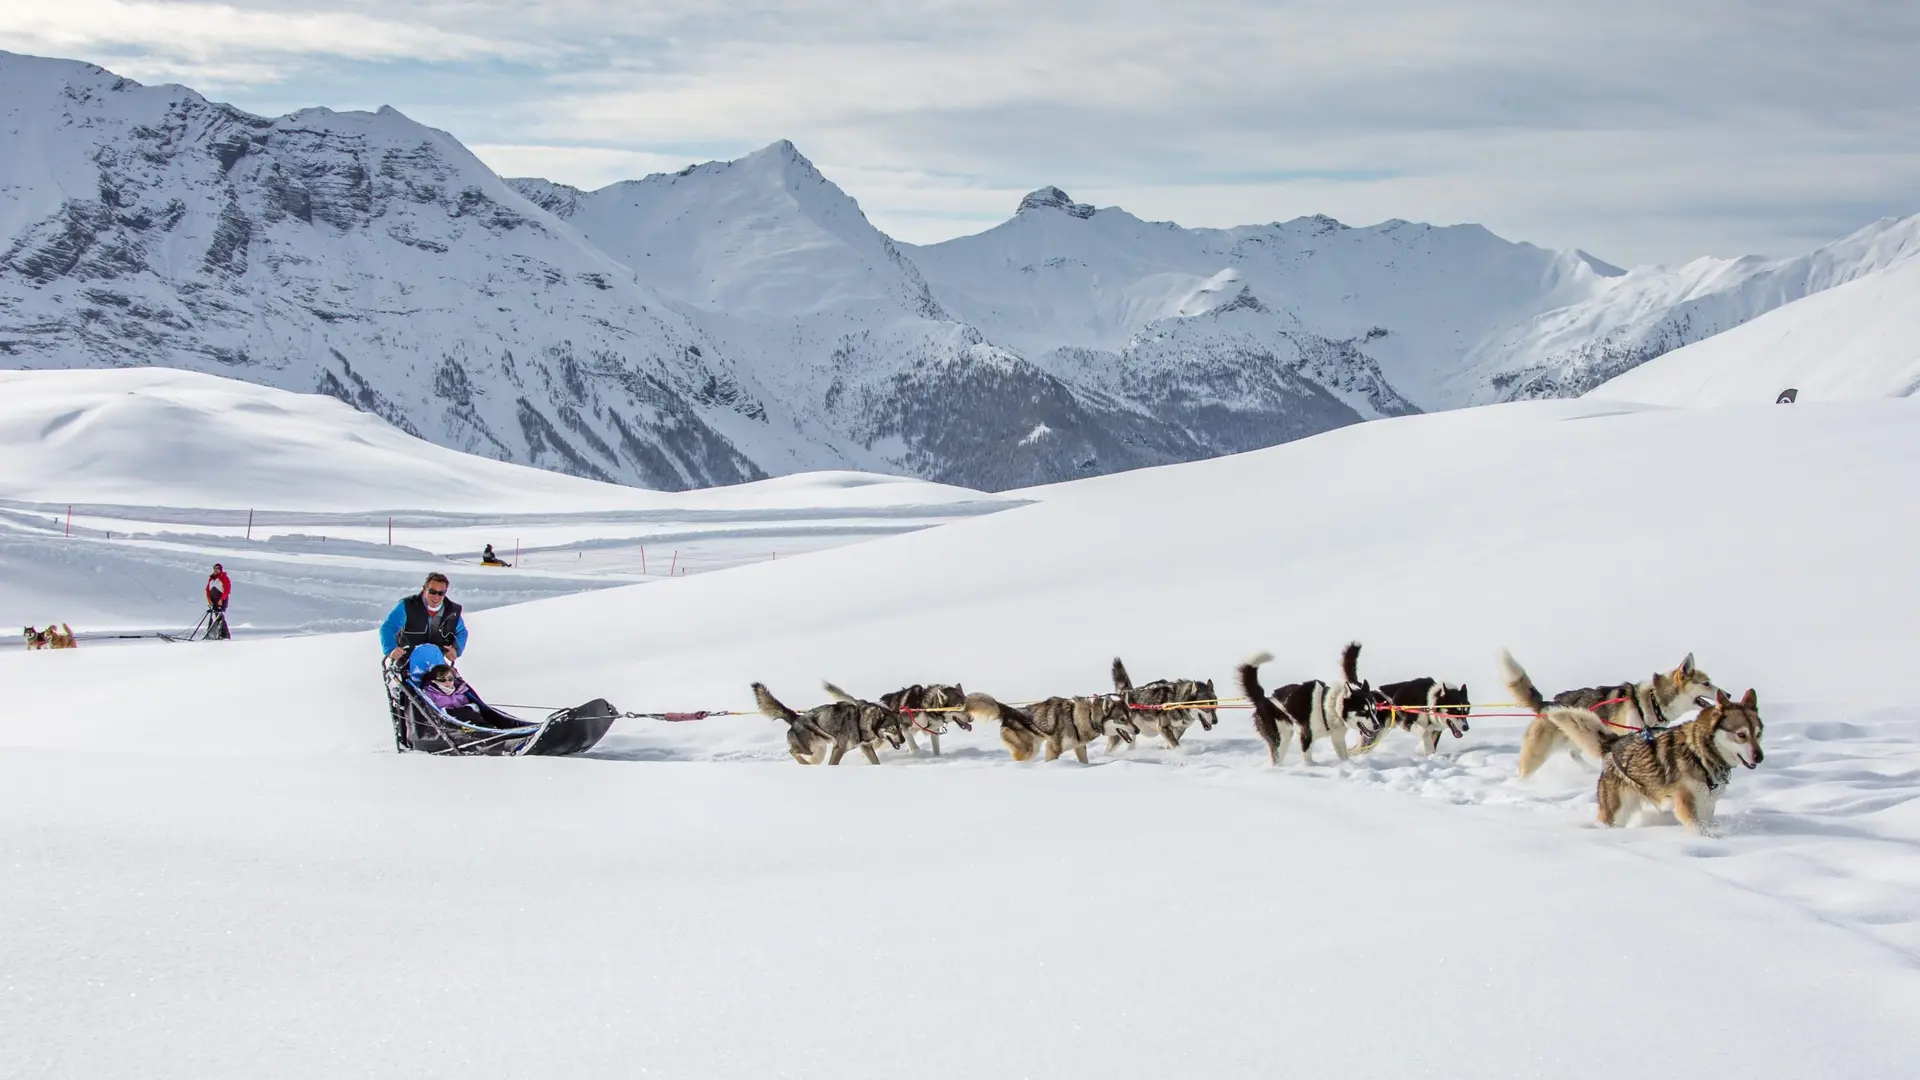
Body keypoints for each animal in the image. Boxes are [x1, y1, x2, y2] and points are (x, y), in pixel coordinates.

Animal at [748, 676, 906, 760]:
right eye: (892, 729)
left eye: (900, 727)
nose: (904, 740)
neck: (861, 721)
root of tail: (795, 718)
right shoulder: (838, 749)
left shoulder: (865, 747)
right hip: (809, 749)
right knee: (793, 751)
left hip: (819, 751)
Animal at [1505, 645, 1720, 772]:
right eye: (1706, 683)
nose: (1725, 693)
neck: (1652, 701)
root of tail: (1548, 704)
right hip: (1536, 755)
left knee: (1575, 755)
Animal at [1536, 687, 1758, 834]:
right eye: (1741, 735)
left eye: (1758, 733)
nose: (1759, 756)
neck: (1701, 753)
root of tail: (1613, 743)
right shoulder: (1686, 805)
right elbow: (1698, 829)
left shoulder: (1707, 805)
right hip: (1616, 809)